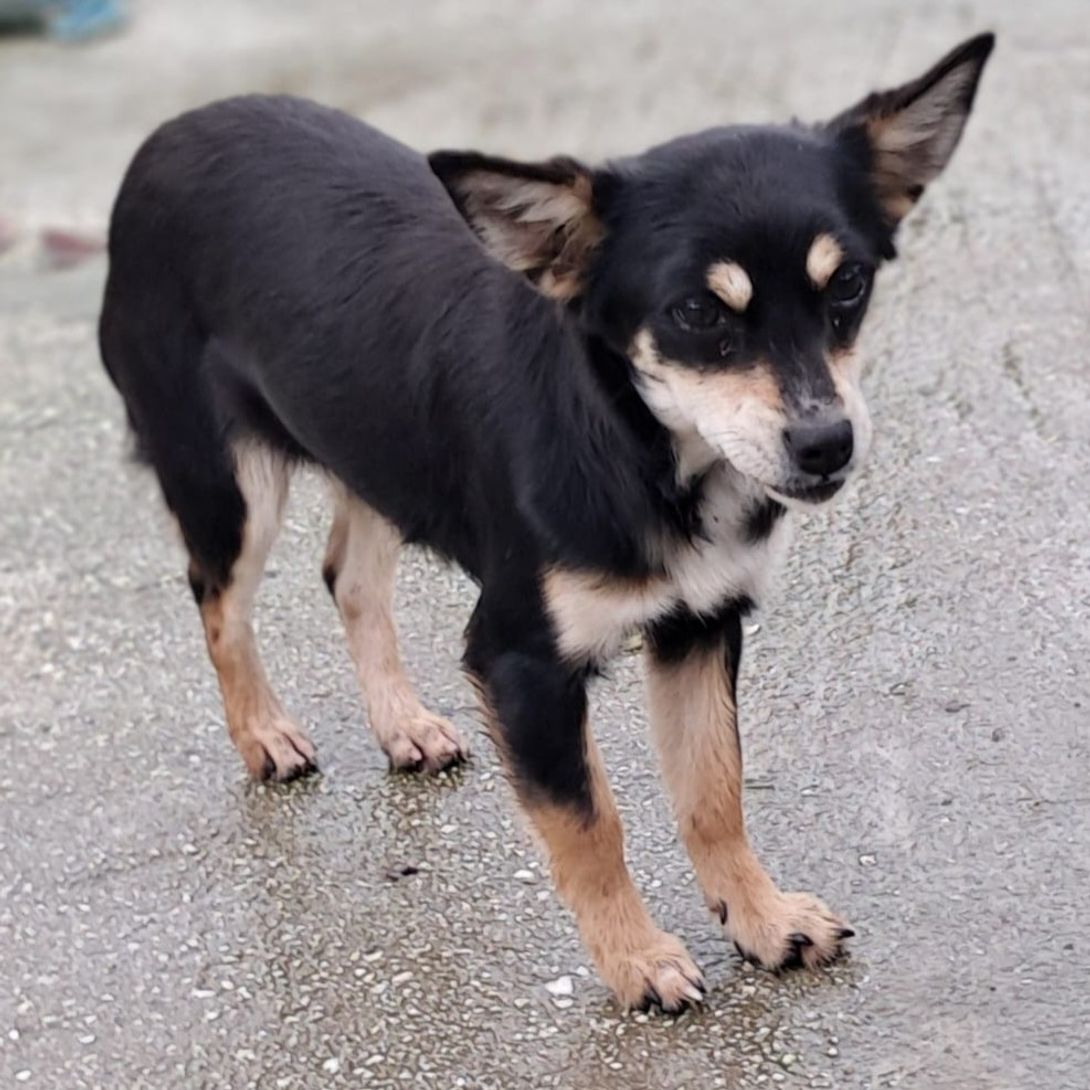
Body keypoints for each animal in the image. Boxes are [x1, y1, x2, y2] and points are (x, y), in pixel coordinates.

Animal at [99, 33, 993, 1010]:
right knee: (221, 604)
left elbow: (713, 789)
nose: (828, 443)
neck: (652, 453)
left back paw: (400, 722)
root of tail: (168, 134)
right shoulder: (522, 660)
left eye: (851, 286)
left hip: (371, 443)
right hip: (229, 480)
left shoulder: (701, 622)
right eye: (696, 313)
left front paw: (758, 917)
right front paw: (636, 959)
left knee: (349, 576)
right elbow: (589, 825)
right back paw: (263, 732)